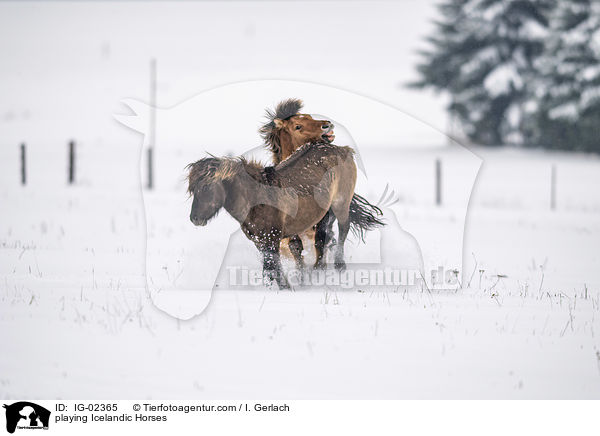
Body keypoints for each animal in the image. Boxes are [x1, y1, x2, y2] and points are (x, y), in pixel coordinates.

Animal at [188, 141, 356, 288]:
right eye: (192, 189)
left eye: (206, 187)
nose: (194, 219)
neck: (256, 198)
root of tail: (344, 149)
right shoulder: (260, 242)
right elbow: (269, 270)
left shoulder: (272, 240)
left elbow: (274, 269)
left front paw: (285, 289)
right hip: (324, 213)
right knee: (321, 238)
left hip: (340, 204)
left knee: (343, 228)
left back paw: (339, 266)